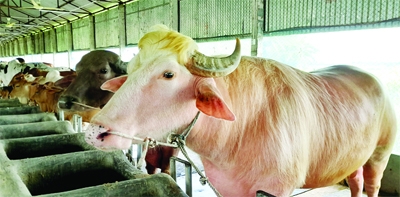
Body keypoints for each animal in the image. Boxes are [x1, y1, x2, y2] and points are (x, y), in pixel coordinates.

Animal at [85, 24, 396, 197]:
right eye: (132, 69)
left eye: (168, 74)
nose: (95, 132)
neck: (241, 130)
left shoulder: (276, 189)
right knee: (355, 182)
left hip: (380, 155)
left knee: (371, 185)